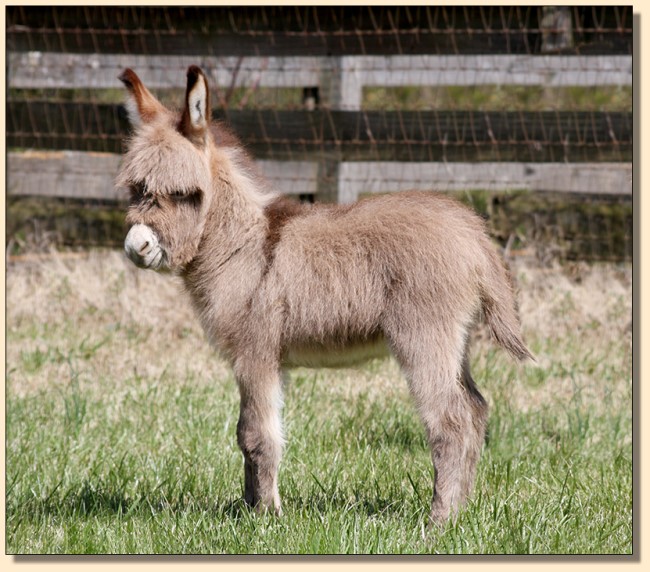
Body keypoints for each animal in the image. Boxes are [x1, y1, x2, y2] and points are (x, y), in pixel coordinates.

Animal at [116, 65, 533, 526]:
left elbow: (255, 436)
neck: (245, 245)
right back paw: (463, 511)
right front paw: (248, 509)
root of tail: (473, 233)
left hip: (424, 336)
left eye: (185, 194)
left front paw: (266, 518)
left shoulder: (255, 353)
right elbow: (252, 434)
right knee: (475, 411)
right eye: (136, 189)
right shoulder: (265, 357)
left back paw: (437, 522)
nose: (137, 247)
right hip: (456, 342)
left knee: (451, 420)